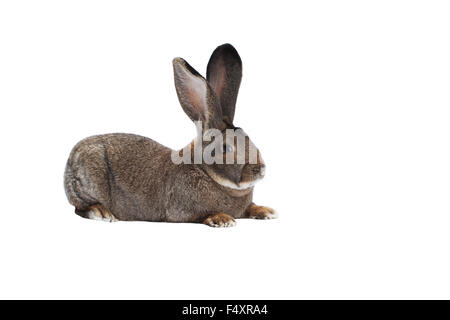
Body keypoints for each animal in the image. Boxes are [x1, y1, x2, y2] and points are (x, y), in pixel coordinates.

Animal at [62, 43, 274, 228]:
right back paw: (102, 213)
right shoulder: (182, 209)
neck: (204, 170)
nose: (261, 169)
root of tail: (72, 157)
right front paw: (222, 219)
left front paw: (266, 211)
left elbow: (251, 208)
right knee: (80, 207)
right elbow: (202, 214)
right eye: (225, 148)